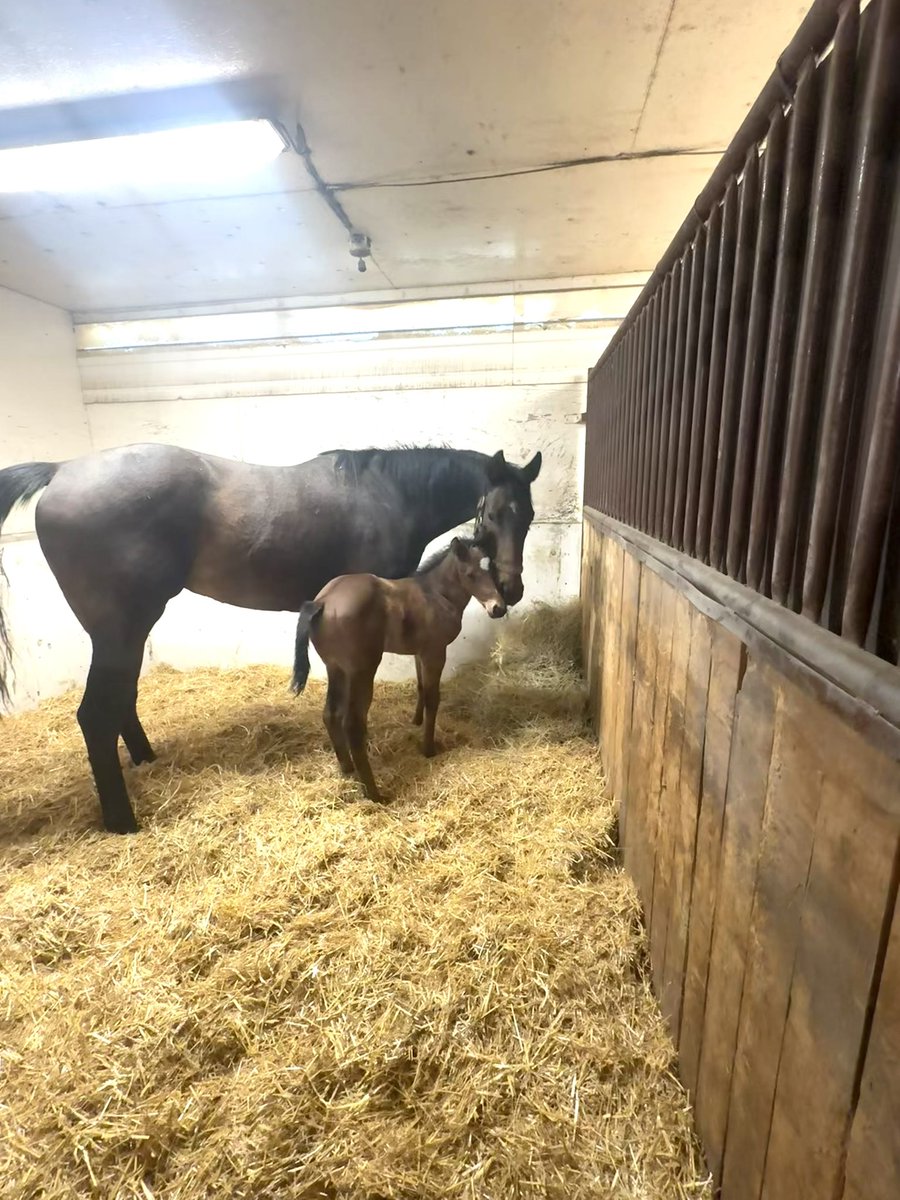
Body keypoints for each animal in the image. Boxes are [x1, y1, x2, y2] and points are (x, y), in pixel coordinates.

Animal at [294, 535, 506, 802]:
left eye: (493, 570)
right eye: (470, 574)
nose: (498, 608)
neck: (435, 595)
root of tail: (322, 601)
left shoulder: (419, 652)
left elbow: (420, 686)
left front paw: (415, 721)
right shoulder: (435, 651)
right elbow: (433, 698)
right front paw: (428, 749)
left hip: (336, 669)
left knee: (330, 715)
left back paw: (347, 769)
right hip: (362, 671)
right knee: (352, 724)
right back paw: (374, 794)